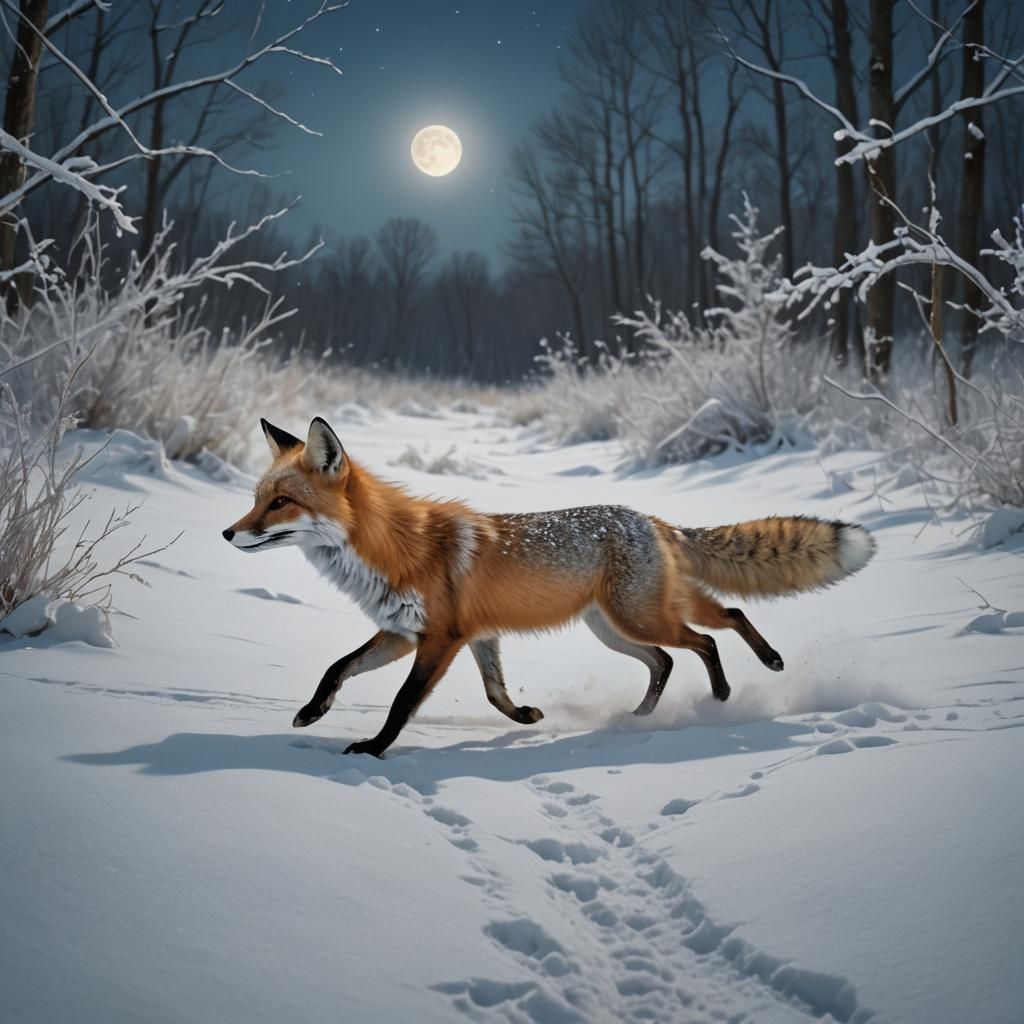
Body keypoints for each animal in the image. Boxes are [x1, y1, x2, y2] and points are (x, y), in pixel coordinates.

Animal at [223, 417, 876, 758]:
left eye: (280, 503)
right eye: (257, 498)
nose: (228, 532)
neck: (393, 548)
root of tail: (648, 517)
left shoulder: (439, 639)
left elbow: (403, 702)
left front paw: (374, 749)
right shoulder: (420, 633)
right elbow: (343, 668)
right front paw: (313, 711)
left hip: (641, 617)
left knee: (713, 634)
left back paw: (734, 686)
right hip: (619, 627)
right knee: (682, 648)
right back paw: (643, 717)